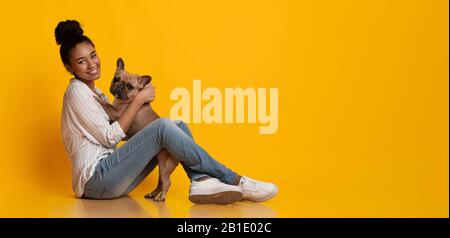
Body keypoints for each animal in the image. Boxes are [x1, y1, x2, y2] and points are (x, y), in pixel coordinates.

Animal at [95, 57, 178, 201]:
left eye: (129, 86)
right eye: (116, 79)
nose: (119, 86)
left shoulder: (117, 114)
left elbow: (106, 105)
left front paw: (98, 98)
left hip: (165, 164)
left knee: (166, 182)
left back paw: (160, 198)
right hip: (161, 165)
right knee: (161, 182)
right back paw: (153, 194)